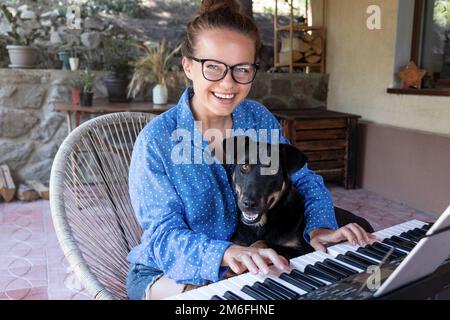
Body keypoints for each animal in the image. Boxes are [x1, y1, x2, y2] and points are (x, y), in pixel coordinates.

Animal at [221, 136, 372, 260]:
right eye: (245, 167)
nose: (249, 204)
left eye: (272, 171)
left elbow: (261, 243)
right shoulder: (238, 242)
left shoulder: (299, 250)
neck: (260, 225)